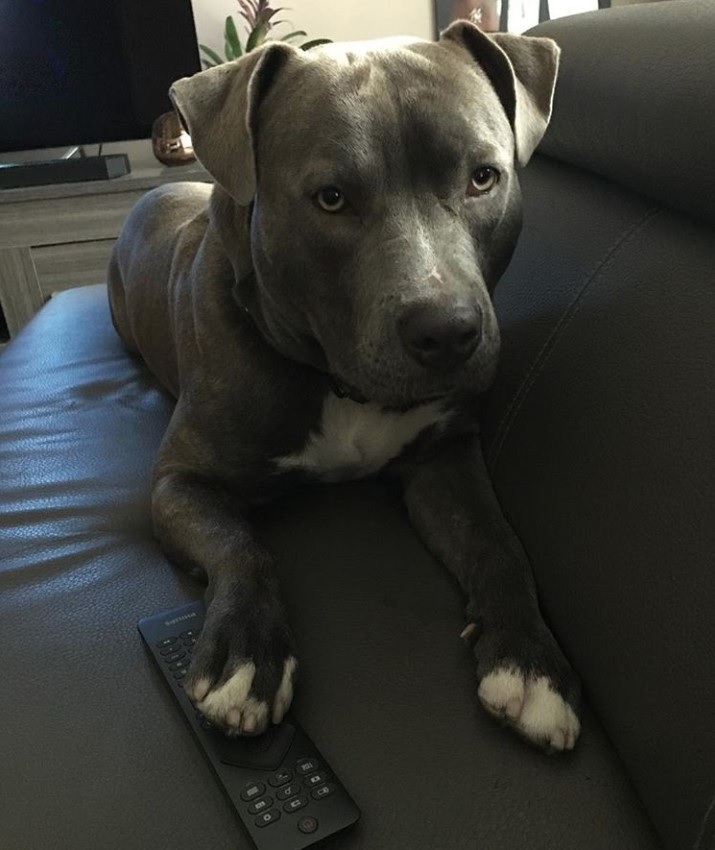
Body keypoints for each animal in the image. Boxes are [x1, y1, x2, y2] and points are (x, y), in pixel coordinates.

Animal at [110, 19, 580, 748]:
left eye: (482, 177)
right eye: (330, 198)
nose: (448, 332)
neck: (343, 386)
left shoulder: (444, 459)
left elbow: (500, 542)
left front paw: (530, 662)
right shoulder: (179, 483)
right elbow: (239, 546)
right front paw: (246, 655)